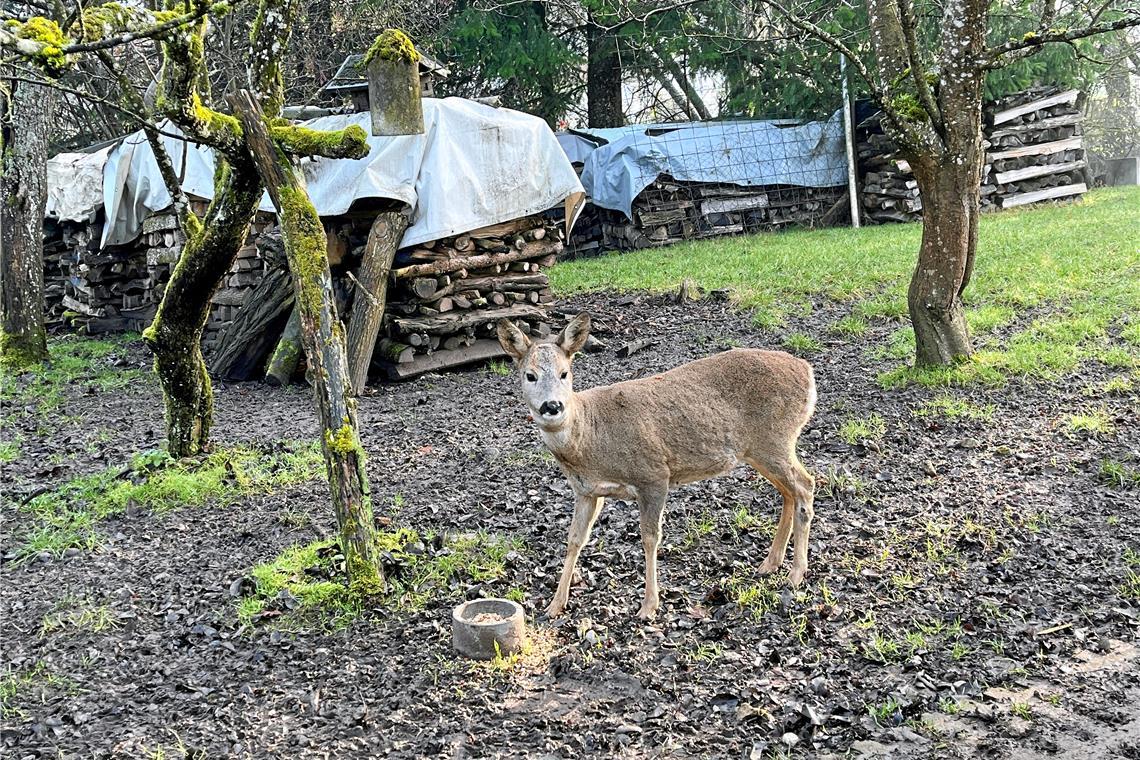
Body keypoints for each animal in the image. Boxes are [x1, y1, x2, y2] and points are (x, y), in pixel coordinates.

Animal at [496, 312, 817, 619]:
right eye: (530, 375)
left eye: (565, 373)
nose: (552, 406)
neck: (590, 437)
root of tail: (807, 370)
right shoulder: (586, 491)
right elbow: (575, 540)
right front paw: (555, 605)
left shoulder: (653, 475)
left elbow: (650, 538)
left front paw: (649, 605)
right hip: (760, 450)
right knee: (789, 492)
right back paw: (770, 563)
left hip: (774, 440)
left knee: (805, 485)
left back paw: (796, 573)